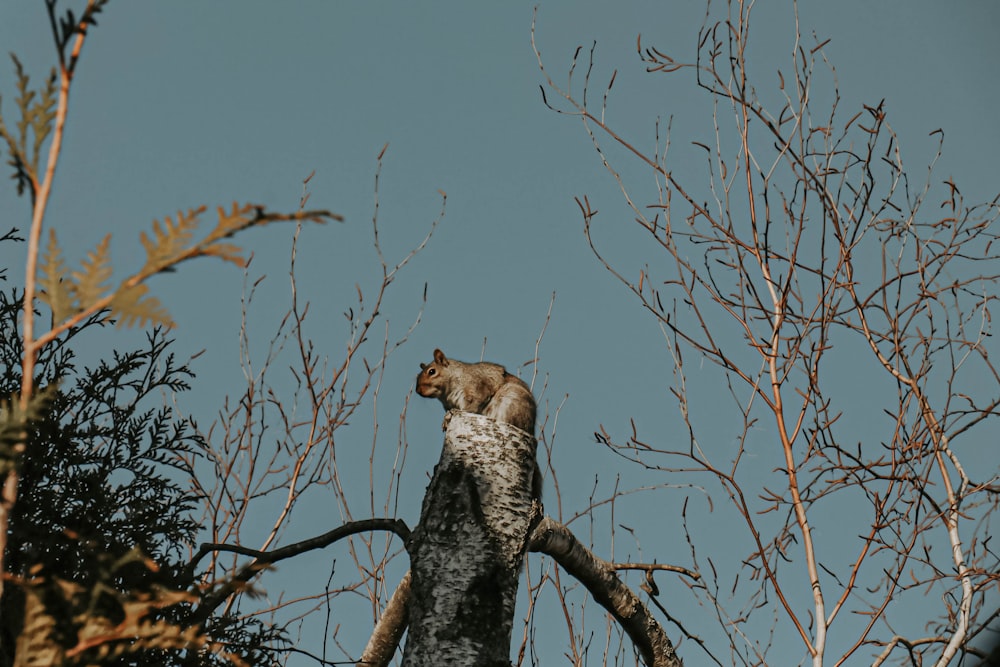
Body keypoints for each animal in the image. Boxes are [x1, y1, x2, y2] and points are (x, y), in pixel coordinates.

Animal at [414, 350, 540, 500]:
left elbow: (474, 404)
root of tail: (530, 429)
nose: (418, 391)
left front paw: (452, 415)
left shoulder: (477, 387)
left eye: (432, 371)